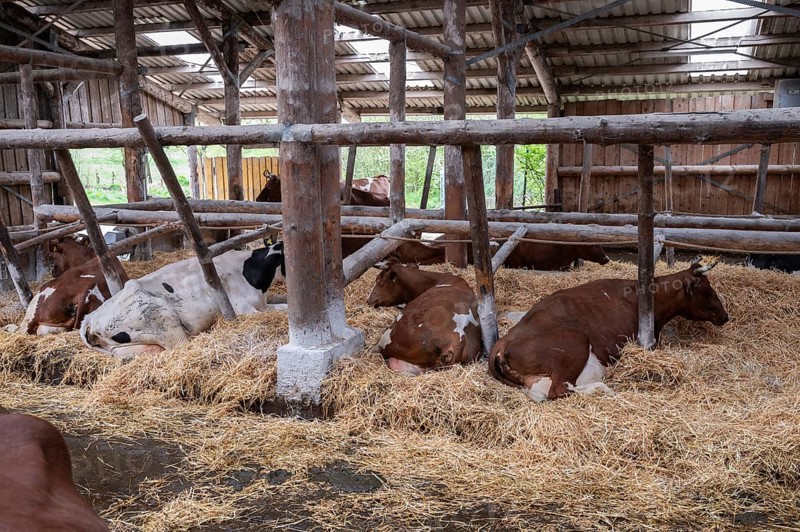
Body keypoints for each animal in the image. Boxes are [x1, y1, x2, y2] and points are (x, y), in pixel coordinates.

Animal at [489, 259, 729, 401]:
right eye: (708, 291)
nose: (725, 316)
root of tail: (501, 344)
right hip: (574, 343)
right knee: (559, 390)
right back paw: (605, 389)